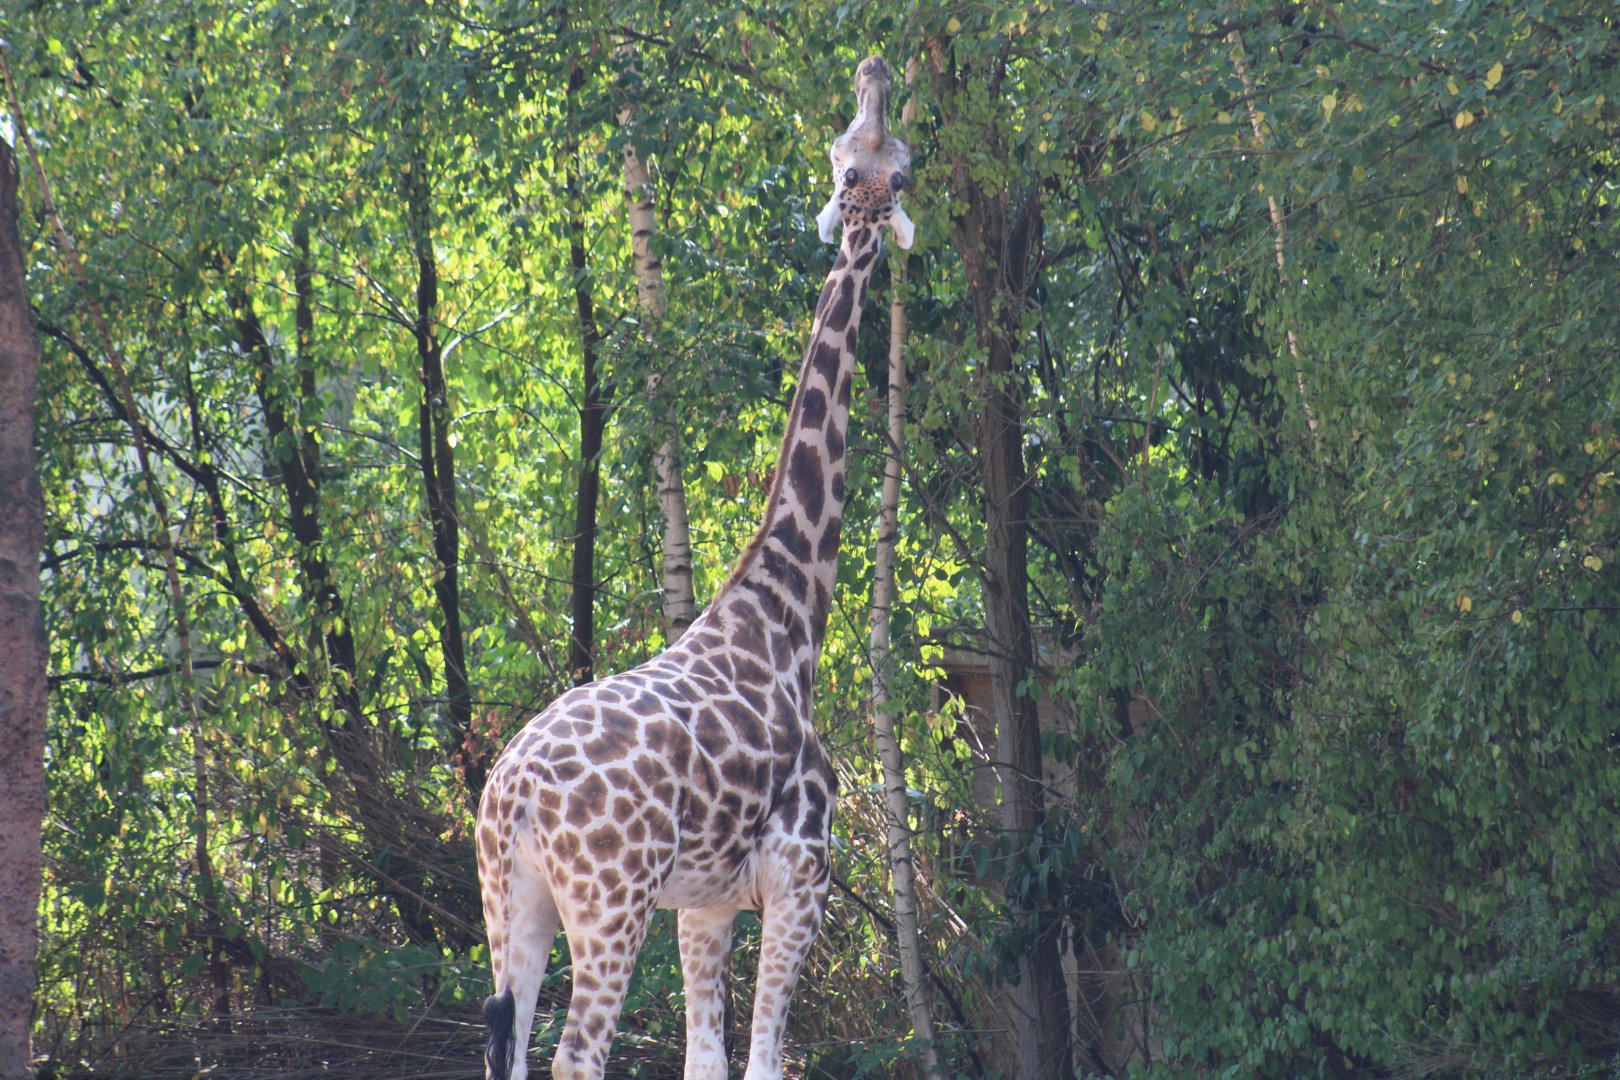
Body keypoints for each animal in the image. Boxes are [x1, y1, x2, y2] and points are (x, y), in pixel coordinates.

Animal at [477, 55, 914, 1080]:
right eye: (866, 159)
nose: (876, 71)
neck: (790, 613)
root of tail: (509, 796)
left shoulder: (708, 905)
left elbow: (708, 1061)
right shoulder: (801, 880)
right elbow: (762, 1063)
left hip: (511, 905)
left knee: (506, 1049)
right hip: (610, 900)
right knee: (575, 1056)